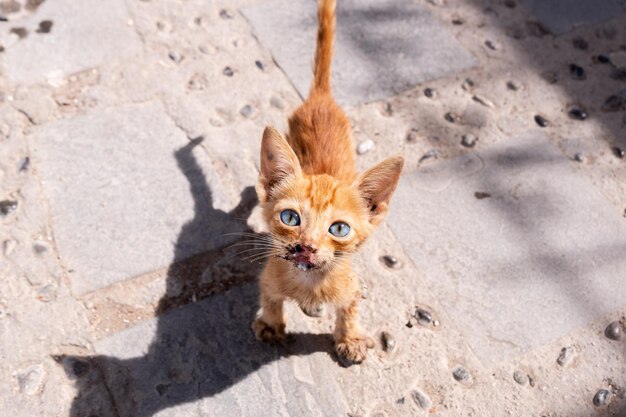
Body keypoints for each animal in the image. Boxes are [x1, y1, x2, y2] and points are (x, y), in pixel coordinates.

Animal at [251, 0, 402, 364]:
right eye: (290, 217)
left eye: (339, 229)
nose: (305, 245)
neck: (309, 282)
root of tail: (321, 97)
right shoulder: (268, 278)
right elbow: (271, 300)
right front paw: (271, 325)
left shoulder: (352, 288)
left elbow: (350, 311)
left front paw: (350, 338)